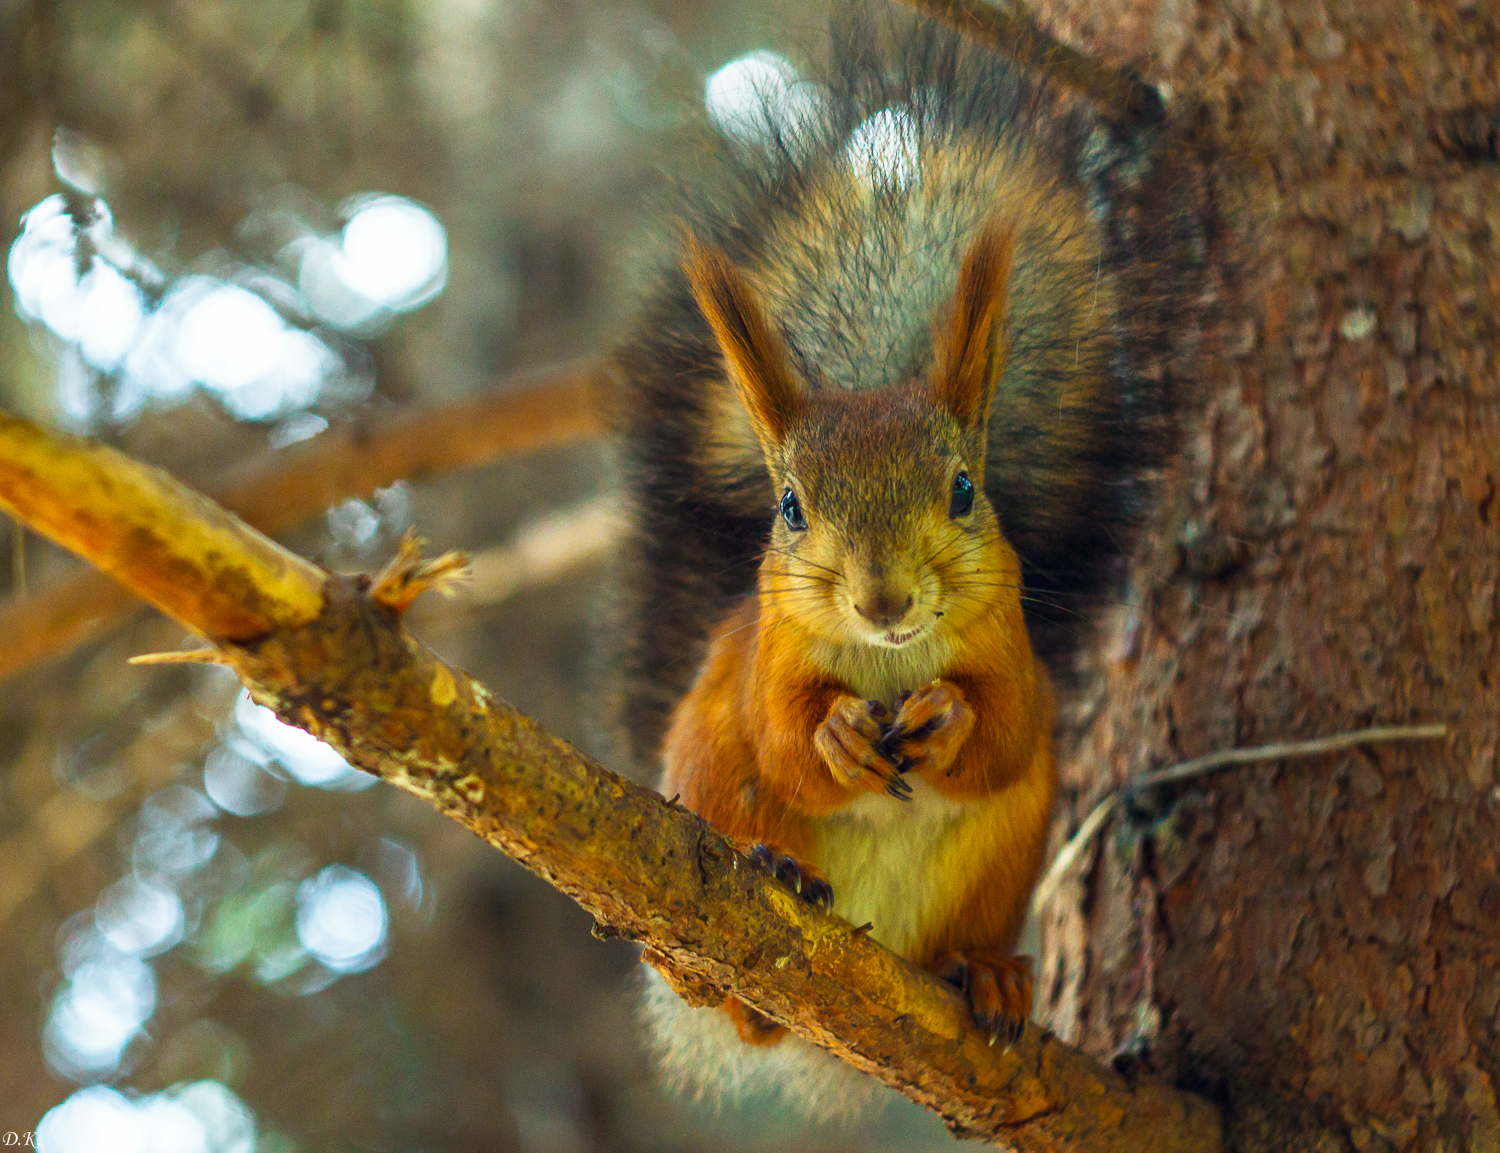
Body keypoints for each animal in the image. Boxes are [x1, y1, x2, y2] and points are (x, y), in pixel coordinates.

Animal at [600, 0, 1194, 1115]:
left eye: (963, 489)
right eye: (790, 507)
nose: (883, 601)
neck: (889, 660)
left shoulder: (1016, 652)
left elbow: (1008, 726)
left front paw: (949, 715)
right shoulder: (763, 658)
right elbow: (780, 732)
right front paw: (834, 735)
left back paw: (985, 972)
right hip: (709, 783)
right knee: (726, 972)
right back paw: (739, 937)